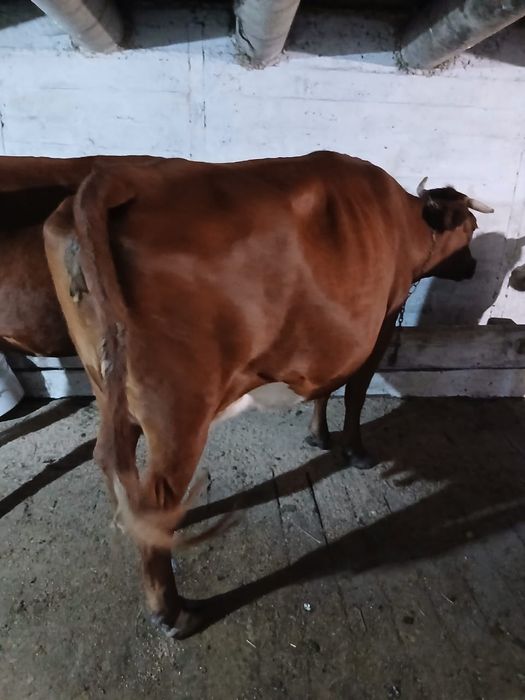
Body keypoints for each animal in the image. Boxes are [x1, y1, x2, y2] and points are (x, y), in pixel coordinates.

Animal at [42, 151, 492, 638]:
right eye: (470, 228)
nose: (472, 268)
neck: (405, 223)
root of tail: (115, 179)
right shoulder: (381, 325)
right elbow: (354, 392)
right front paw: (355, 450)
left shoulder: (331, 341)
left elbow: (327, 388)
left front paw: (319, 435)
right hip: (179, 413)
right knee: (154, 496)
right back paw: (173, 612)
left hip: (107, 386)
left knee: (114, 464)